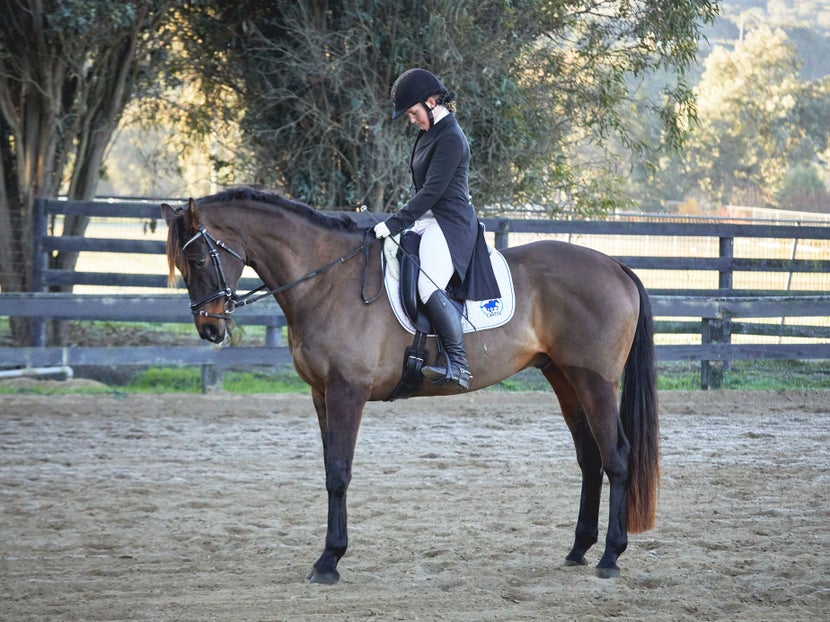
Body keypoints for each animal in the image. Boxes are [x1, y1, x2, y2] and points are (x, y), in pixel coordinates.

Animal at [159, 188, 660, 588]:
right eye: (181, 265)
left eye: (199, 259)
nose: (210, 330)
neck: (326, 281)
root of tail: (616, 264)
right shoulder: (321, 394)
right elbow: (328, 471)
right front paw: (329, 555)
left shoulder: (346, 391)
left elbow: (339, 473)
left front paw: (329, 561)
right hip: (563, 377)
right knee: (590, 458)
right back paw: (579, 550)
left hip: (594, 381)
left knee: (617, 456)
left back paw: (611, 557)